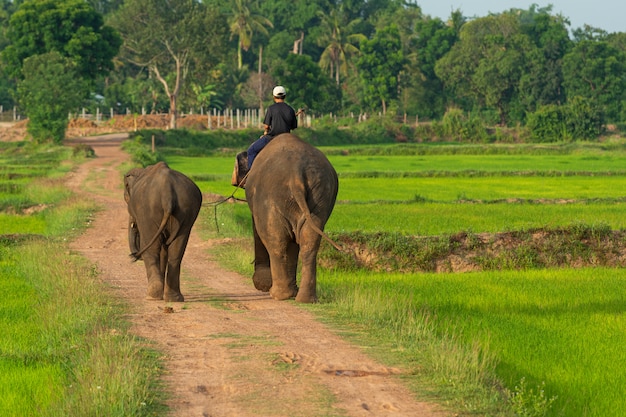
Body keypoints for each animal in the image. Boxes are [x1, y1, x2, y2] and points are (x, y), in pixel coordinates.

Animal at [122, 161, 200, 300]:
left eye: (126, 199)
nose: (132, 256)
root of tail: (167, 193)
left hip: (148, 212)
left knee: (151, 250)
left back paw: (152, 295)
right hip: (185, 213)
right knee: (176, 252)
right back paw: (174, 298)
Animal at [243, 134, 336, 302]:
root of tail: (296, 175)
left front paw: (262, 284)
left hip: (270, 198)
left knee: (275, 240)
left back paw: (278, 295)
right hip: (320, 197)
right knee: (309, 241)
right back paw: (305, 299)